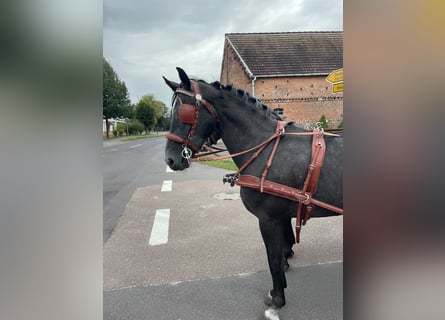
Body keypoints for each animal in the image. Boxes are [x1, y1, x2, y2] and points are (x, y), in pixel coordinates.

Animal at [163, 69, 340, 312]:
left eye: (184, 112)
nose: (170, 159)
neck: (265, 147)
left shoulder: (269, 219)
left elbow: (273, 258)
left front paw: (277, 297)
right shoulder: (280, 216)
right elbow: (282, 250)